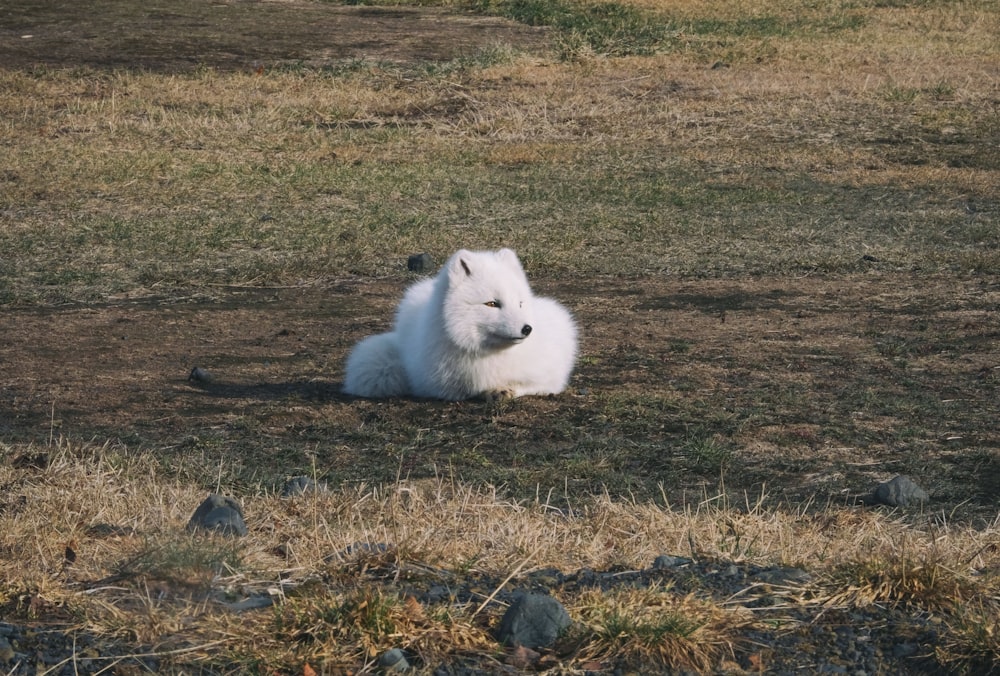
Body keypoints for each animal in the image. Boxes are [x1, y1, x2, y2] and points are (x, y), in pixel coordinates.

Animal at [344, 250, 580, 402]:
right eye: (492, 304)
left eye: (520, 303)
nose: (527, 329)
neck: (491, 354)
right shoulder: (436, 385)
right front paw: (489, 391)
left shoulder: (552, 378)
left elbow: (530, 385)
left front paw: (503, 389)